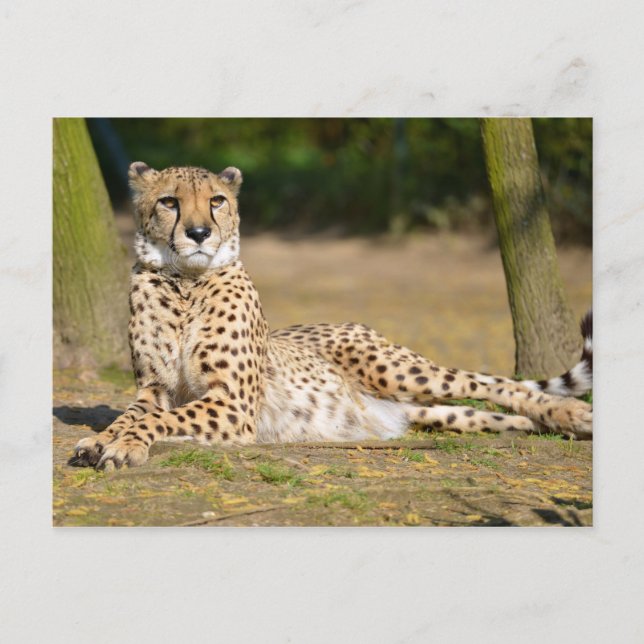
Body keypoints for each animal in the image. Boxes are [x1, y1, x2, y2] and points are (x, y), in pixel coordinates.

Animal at [71, 162, 593, 471]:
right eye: (169, 202)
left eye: (216, 200)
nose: (199, 233)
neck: (185, 282)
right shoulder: (154, 390)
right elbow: (129, 415)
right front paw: (103, 440)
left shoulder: (232, 405)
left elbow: (156, 421)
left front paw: (122, 445)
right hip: (428, 407)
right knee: (485, 412)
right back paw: (551, 425)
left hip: (398, 369)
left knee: (497, 384)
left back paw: (571, 413)